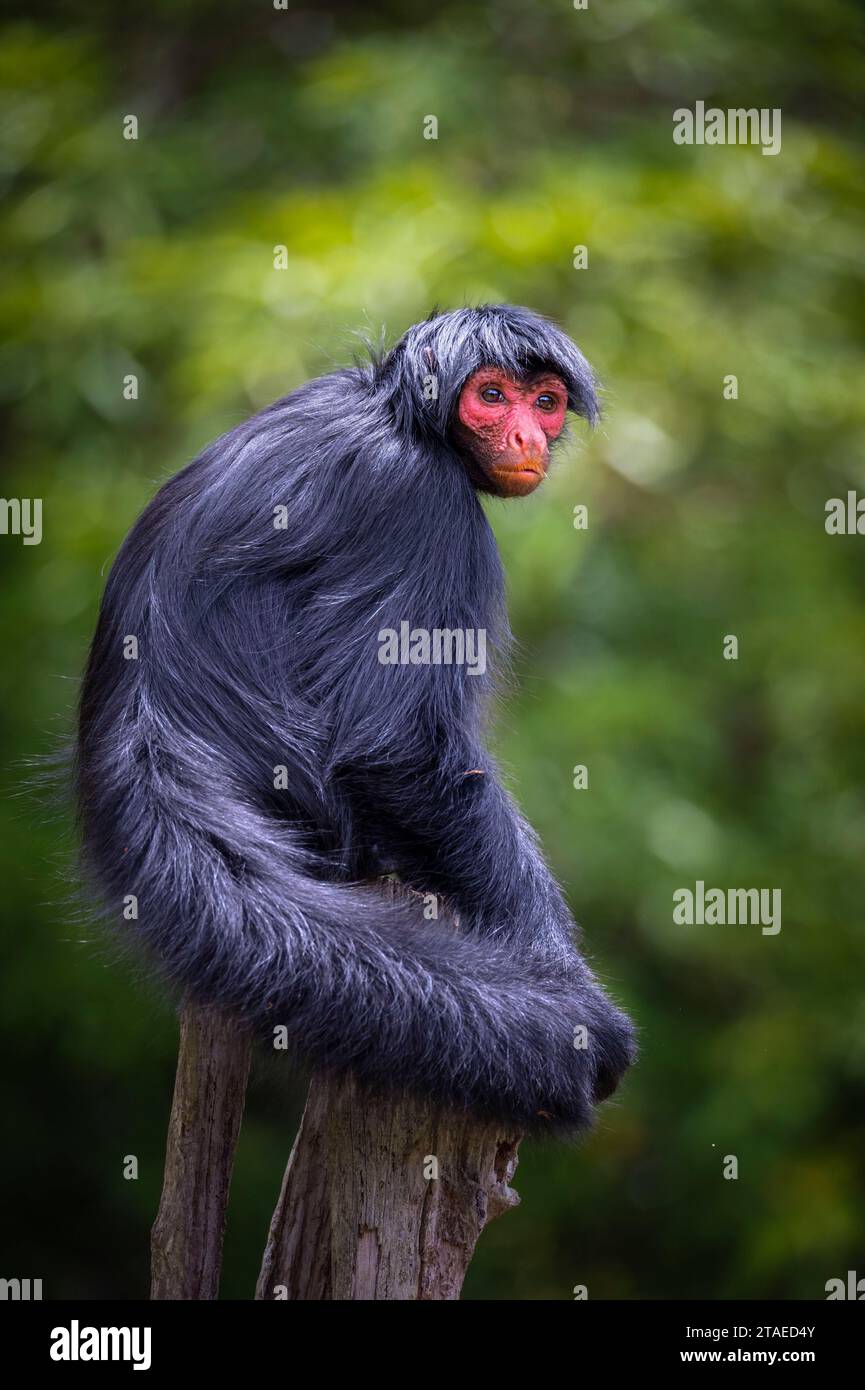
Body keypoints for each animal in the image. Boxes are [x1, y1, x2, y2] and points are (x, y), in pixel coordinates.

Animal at [75, 304, 636, 1135]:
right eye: (491, 396)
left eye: (543, 403)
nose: (526, 438)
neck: (391, 412)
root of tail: (147, 743)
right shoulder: (420, 499)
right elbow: (394, 751)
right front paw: (554, 966)